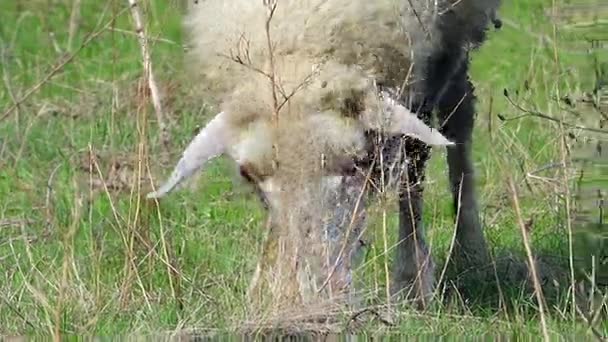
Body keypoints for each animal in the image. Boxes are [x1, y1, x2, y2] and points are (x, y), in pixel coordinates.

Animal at [148, 0, 504, 308]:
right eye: (248, 175)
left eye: (359, 163)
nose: (318, 292)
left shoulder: (434, 53)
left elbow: (413, 169)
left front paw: (412, 283)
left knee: (459, 111)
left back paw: (469, 247)